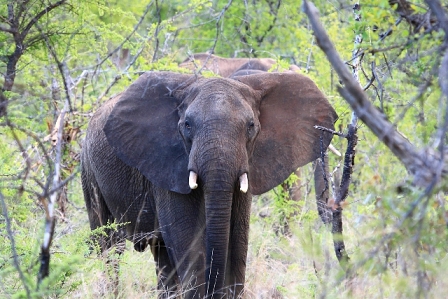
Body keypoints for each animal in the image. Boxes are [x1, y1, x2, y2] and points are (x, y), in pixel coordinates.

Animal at [82, 57, 338, 298]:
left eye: (251, 125)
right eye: (187, 125)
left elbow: (238, 241)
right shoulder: (167, 163)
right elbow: (188, 241)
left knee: (161, 254)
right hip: (88, 167)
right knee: (109, 244)